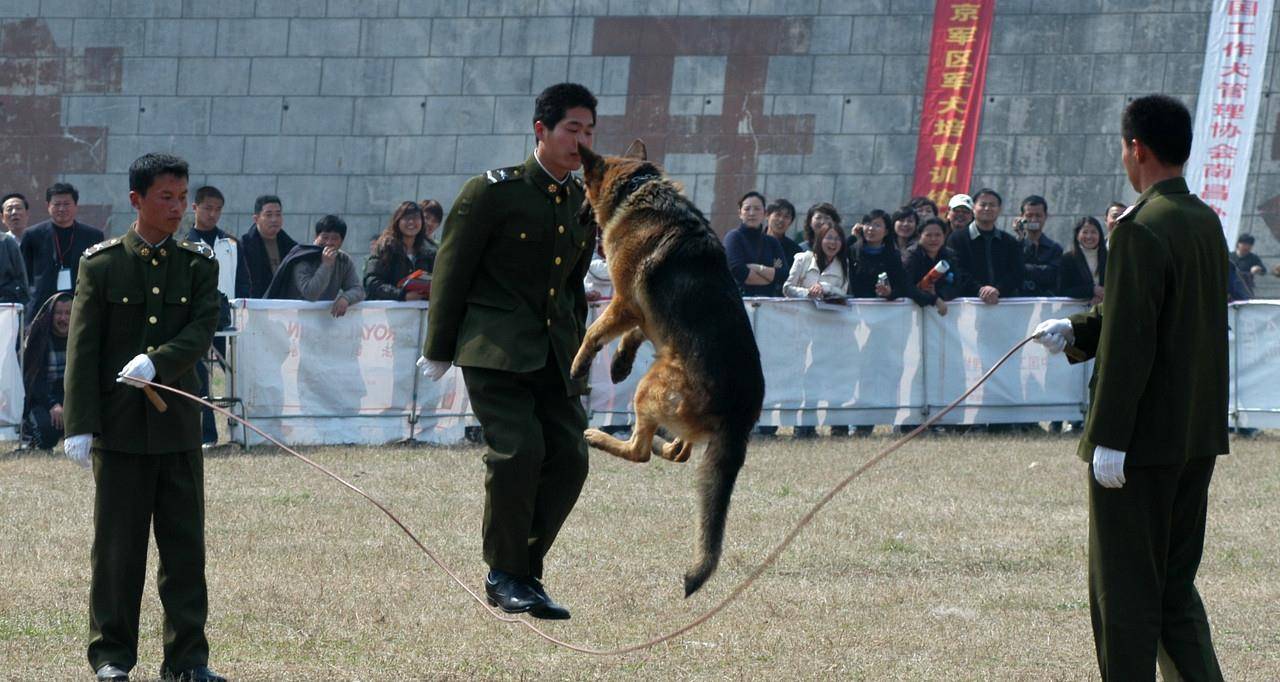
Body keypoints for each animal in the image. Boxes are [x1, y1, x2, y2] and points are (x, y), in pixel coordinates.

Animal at [568, 139, 757, 596]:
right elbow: (635, 334)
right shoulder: (641, 314)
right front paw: (619, 362)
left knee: (641, 453)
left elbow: (594, 332)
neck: (637, 186)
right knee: (680, 451)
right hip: (665, 378)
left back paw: (601, 436)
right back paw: (662, 443)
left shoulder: (622, 301)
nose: (576, 212)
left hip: (651, 387)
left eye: (581, 182)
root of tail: (740, 417)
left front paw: (580, 365)